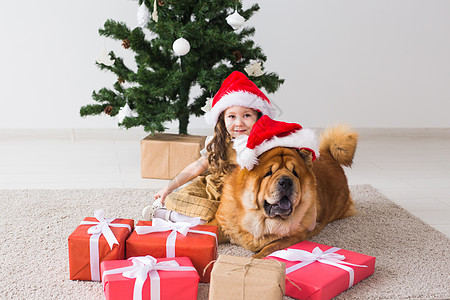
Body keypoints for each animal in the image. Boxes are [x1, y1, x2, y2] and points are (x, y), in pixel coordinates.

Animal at [213, 125, 356, 258]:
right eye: (269, 173)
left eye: (295, 173)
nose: (286, 181)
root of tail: (330, 155)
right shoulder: (222, 222)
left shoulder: (293, 237)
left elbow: (269, 248)